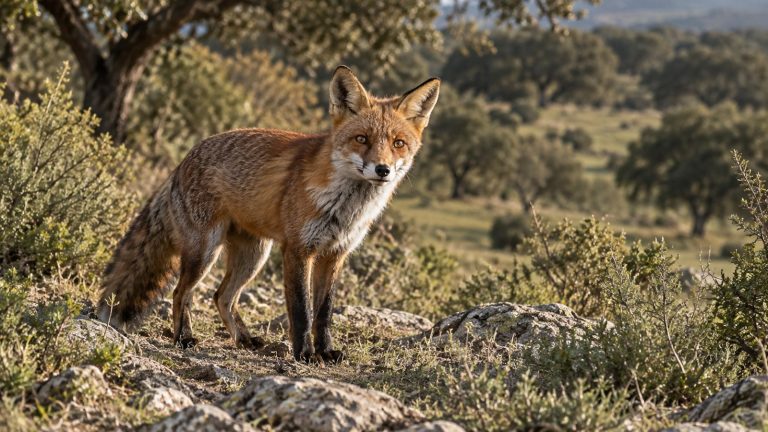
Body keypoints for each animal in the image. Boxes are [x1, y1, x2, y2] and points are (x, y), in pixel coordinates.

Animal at [97, 66, 440, 362]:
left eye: (398, 143)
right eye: (362, 139)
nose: (382, 170)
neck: (345, 208)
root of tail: (182, 161)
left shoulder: (334, 254)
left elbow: (324, 313)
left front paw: (326, 352)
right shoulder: (298, 250)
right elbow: (301, 311)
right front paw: (305, 354)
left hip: (253, 257)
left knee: (221, 296)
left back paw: (243, 339)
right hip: (205, 252)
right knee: (183, 293)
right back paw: (183, 338)